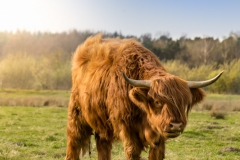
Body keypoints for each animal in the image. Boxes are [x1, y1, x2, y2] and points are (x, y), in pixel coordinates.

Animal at [65, 33, 223, 159]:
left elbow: (157, 154)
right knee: (74, 142)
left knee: (103, 146)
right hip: (76, 115)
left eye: (183, 102)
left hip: (103, 124)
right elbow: (132, 152)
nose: (176, 125)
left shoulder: (159, 137)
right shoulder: (127, 128)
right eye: (157, 102)